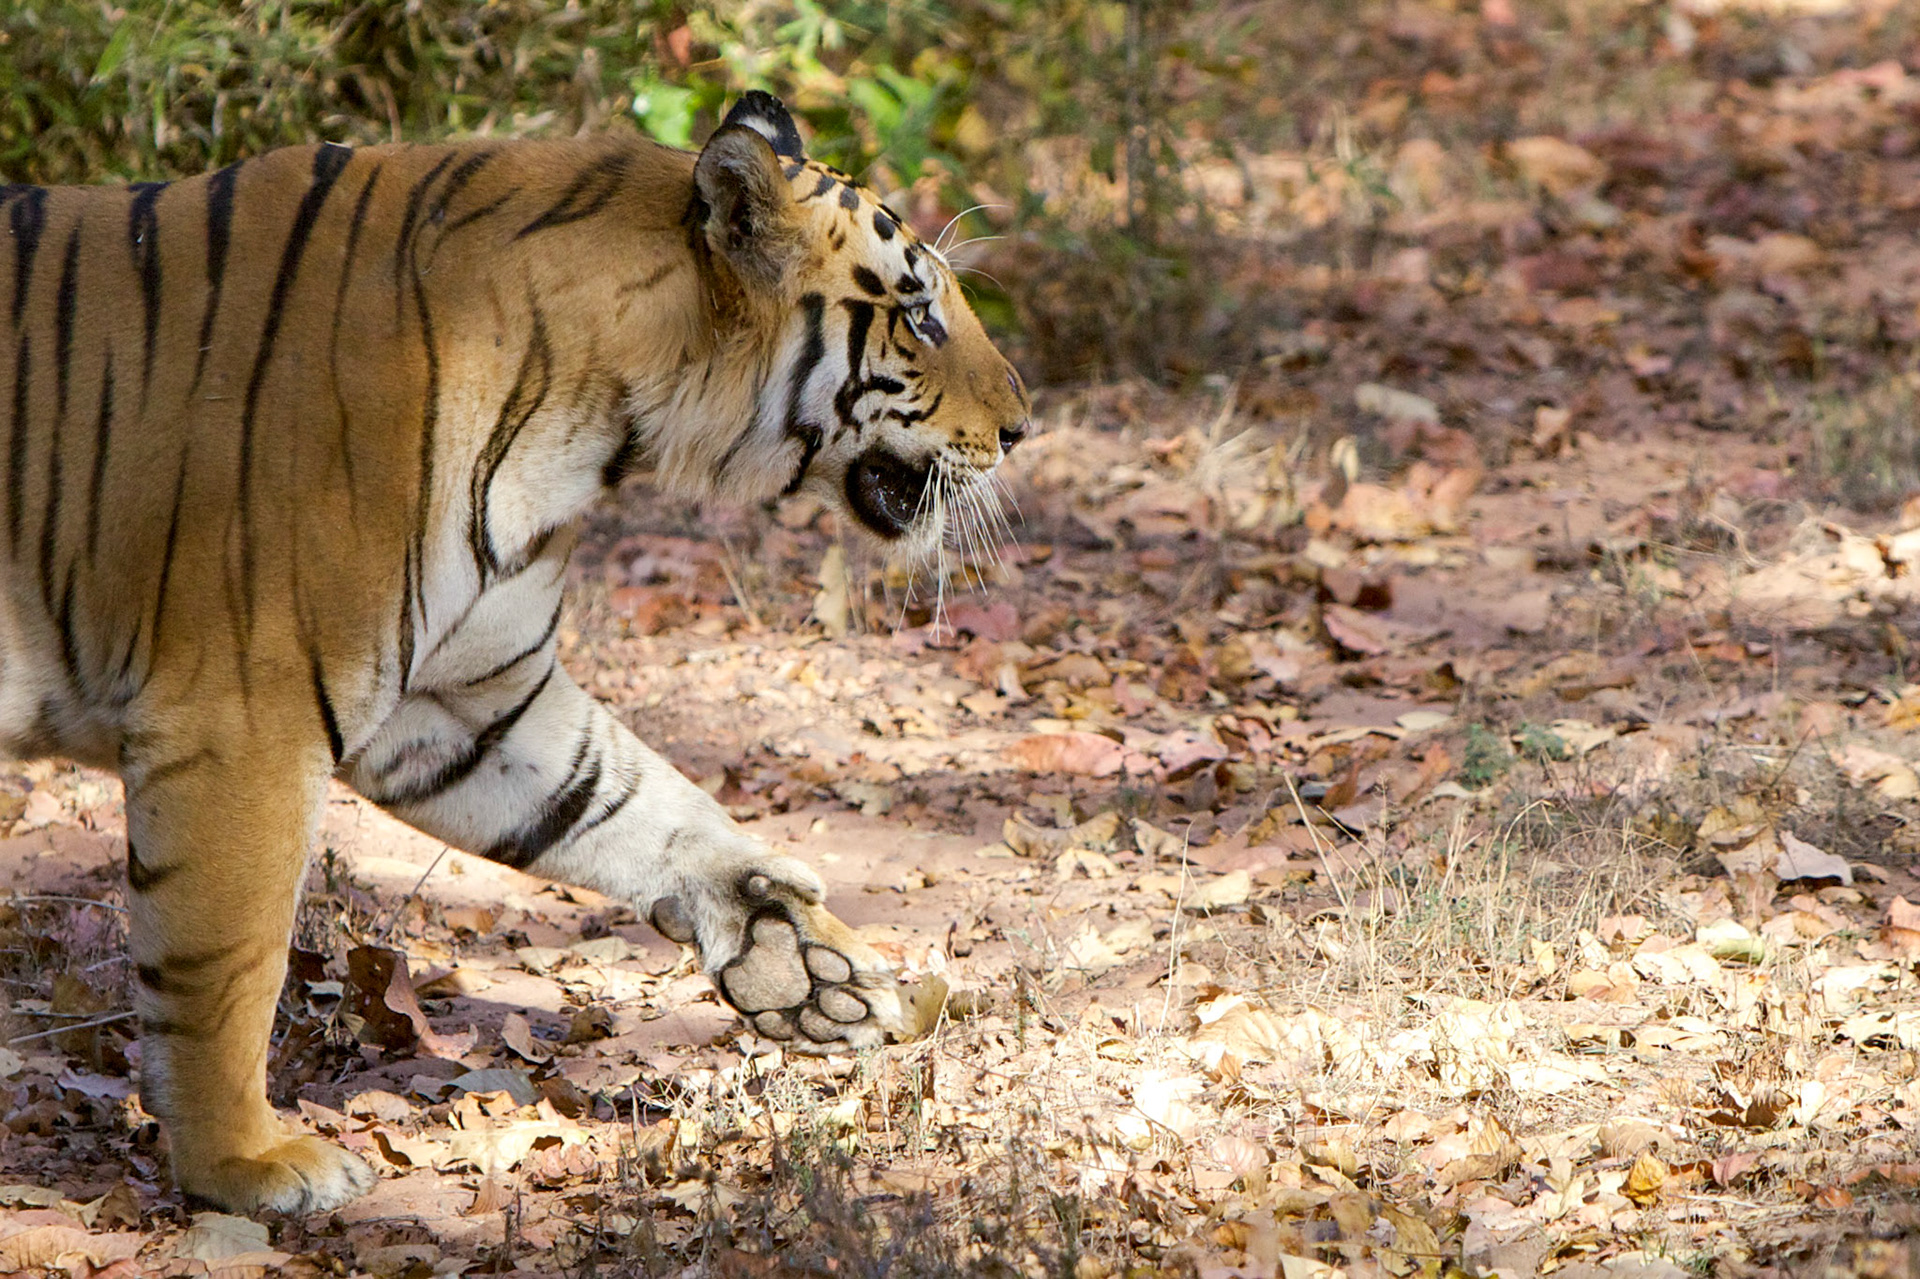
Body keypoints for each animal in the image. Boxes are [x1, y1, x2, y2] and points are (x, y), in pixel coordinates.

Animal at [0, 91, 1028, 1215]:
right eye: (920, 315)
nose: (1023, 427)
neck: (599, 409)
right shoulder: (243, 713)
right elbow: (228, 959)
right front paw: (245, 1162)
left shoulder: (467, 697)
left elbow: (630, 797)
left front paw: (804, 965)